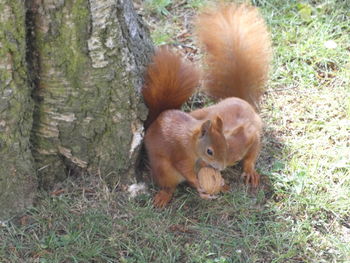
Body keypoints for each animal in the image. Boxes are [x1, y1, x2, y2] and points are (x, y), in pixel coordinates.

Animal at [142, 3, 270, 207]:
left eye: (232, 156)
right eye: (212, 151)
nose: (220, 168)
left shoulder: (254, 135)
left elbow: (252, 154)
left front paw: (249, 170)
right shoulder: (182, 155)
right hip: (167, 164)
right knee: (169, 184)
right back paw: (166, 195)